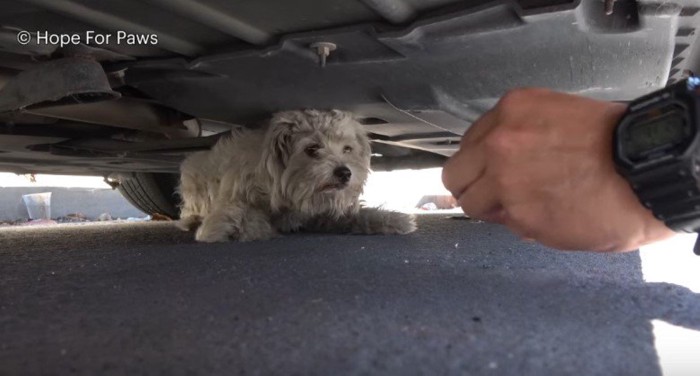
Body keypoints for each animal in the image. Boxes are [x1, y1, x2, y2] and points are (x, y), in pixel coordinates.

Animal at [178, 108, 416, 244]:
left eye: (347, 149)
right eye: (312, 149)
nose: (345, 173)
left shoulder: (320, 212)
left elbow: (357, 215)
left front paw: (393, 219)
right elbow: (240, 215)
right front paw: (246, 228)